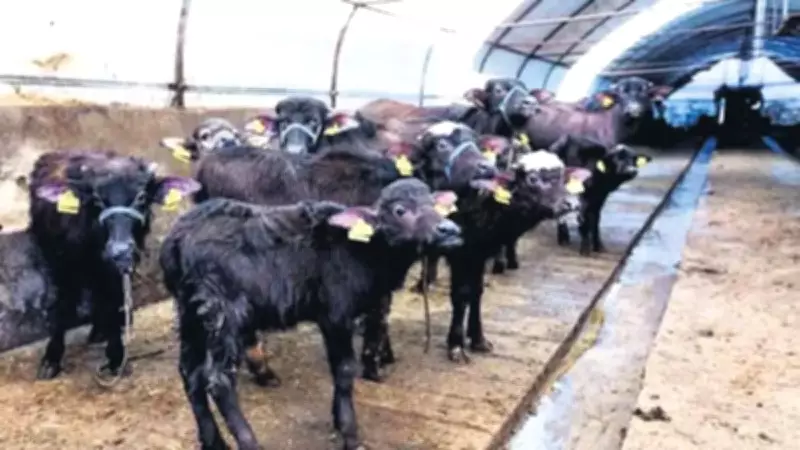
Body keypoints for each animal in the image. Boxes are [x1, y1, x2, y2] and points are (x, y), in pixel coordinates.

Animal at [27, 150, 200, 380]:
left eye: (141, 197)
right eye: (97, 199)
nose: (120, 249)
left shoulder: (119, 268)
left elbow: (114, 302)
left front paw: (116, 356)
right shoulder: (62, 266)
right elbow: (62, 307)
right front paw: (51, 359)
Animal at [159, 179, 462, 450]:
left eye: (434, 203)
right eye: (400, 210)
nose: (450, 230)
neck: (364, 248)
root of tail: (176, 239)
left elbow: (336, 370)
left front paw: (338, 420)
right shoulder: (337, 315)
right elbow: (344, 370)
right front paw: (350, 434)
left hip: (190, 313)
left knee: (190, 373)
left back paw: (214, 442)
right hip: (224, 312)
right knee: (219, 381)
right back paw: (248, 442)